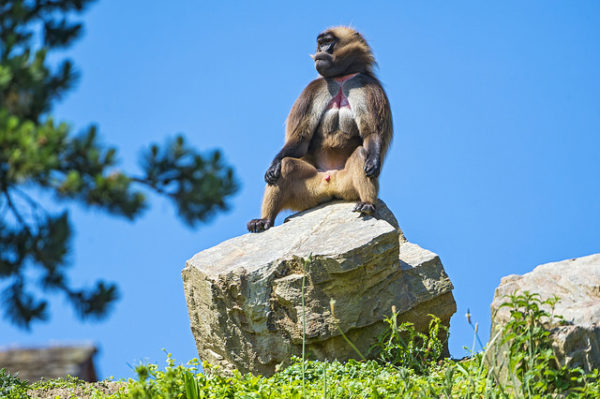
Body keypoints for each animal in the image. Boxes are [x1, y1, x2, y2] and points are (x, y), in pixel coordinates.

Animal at [246, 26, 392, 233]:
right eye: (320, 43)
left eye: (328, 42)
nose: (320, 53)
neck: (341, 78)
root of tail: (330, 183)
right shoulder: (314, 90)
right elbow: (301, 138)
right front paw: (273, 165)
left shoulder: (368, 88)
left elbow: (371, 133)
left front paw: (373, 161)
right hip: (309, 190)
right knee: (286, 165)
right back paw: (264, 220)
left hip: (346, 184)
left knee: (361, 155)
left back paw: (367, 203)